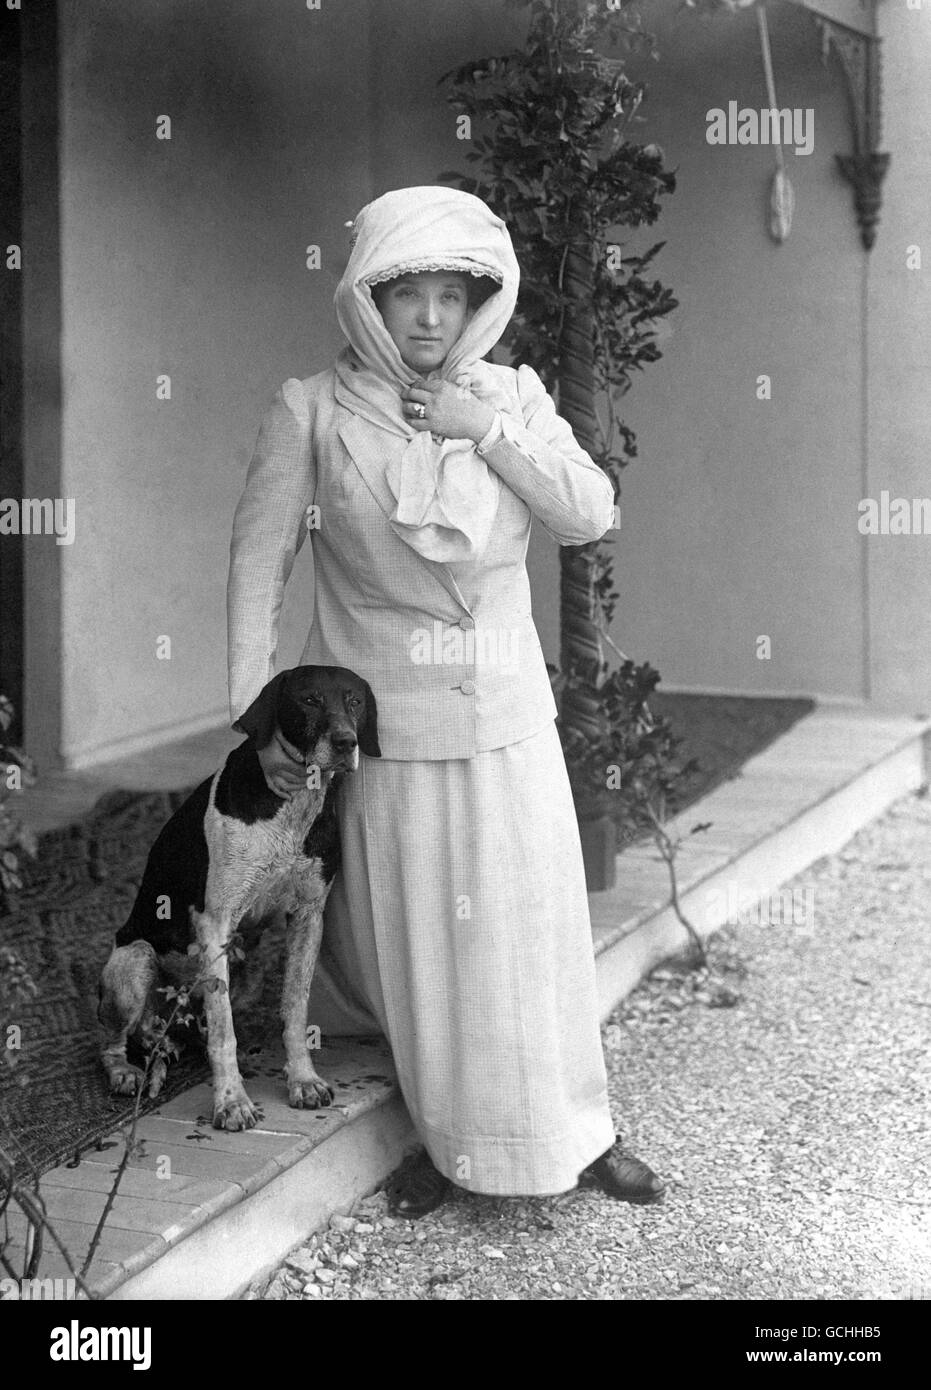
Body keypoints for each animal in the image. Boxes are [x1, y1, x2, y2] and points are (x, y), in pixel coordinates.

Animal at [97, 667, 377, 1134]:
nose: (345, 742)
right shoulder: (216, 926)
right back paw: (127, 1069)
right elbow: (223, 1033)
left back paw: (168, 1042)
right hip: (134, 961)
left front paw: (303, 1080)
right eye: (309, 700)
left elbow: (294, 1010)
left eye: (355, 701)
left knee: (179, 1029)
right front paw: (231, 1103)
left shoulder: (308, 916)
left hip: (245, 967)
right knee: (114, 1040)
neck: (291, 806)